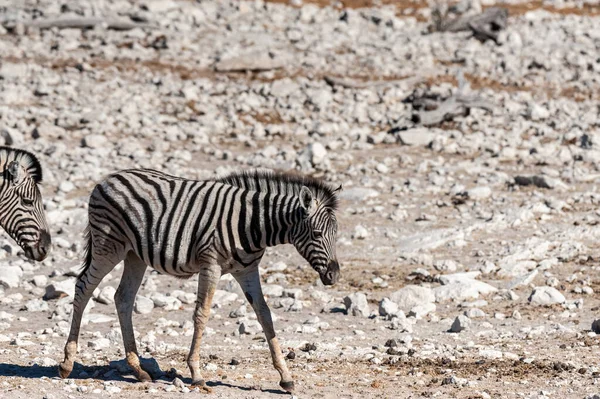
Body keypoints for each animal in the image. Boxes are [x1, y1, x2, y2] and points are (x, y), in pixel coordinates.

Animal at [60, 169, 342, 394]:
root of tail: (106, 179)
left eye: (336, 234)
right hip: (108, 246)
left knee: (123, 298)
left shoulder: (248, 270)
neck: (253, 225)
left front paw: (286, 377)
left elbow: (265, 315)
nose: (335, 275)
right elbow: (202, 314)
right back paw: (66, 364)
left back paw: (138, 370)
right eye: (317, 234)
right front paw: (196, 375)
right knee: (83, 288)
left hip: (134, 255)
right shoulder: (211, 265)